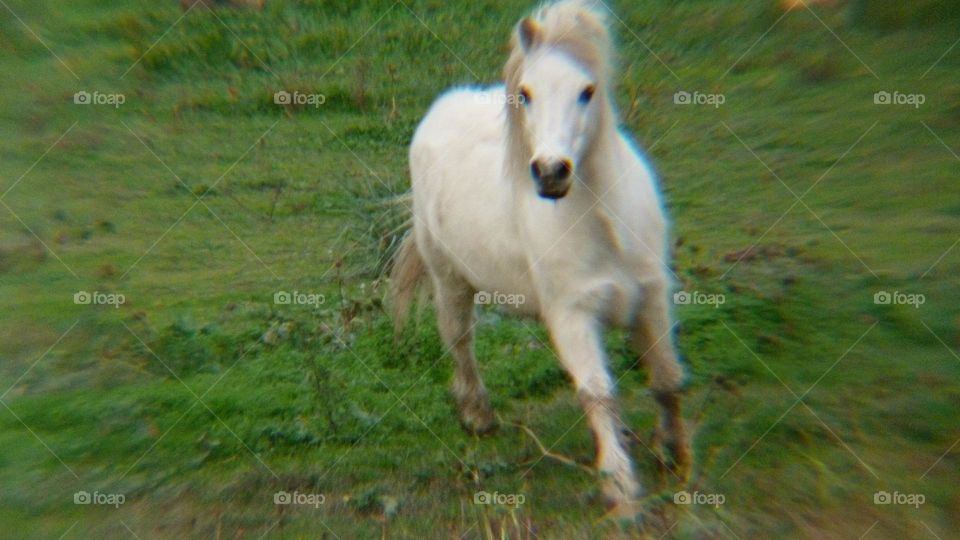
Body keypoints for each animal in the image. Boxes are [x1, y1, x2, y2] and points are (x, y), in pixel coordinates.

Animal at [392, 0, 690, 516]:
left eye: (587, 91)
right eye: (526, 93)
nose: (550, 173)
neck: (603, 224)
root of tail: (443, 107)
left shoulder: (652, 297)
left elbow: (667, 377)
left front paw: (673, 456)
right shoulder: (572, 314)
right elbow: (599, 396)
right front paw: (620, 487)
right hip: (450, 280)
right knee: (459, 339)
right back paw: (478, 415)